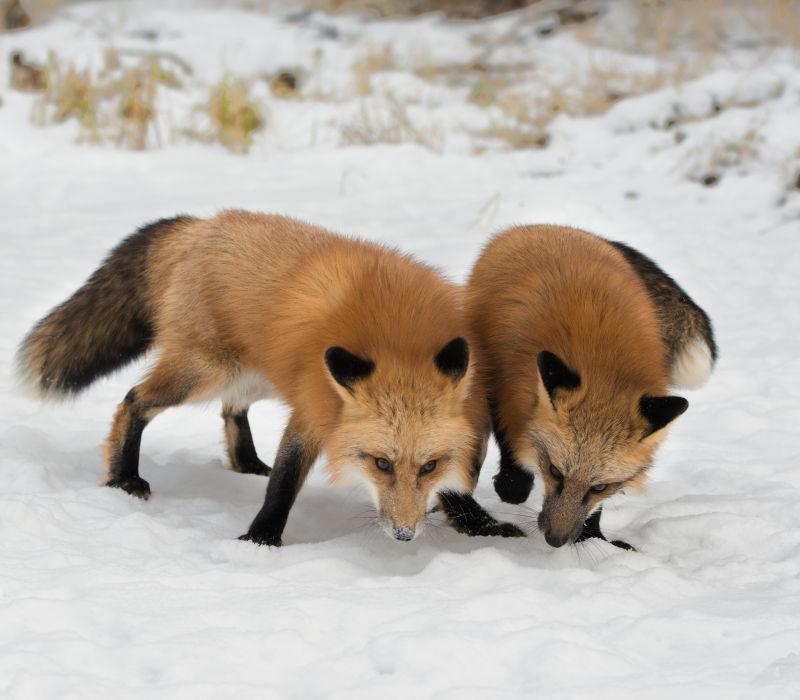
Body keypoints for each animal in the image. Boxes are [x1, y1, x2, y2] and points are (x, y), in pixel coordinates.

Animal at [18, 211, 524, 548]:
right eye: (380, 463)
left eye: (428, 466)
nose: (403, 534)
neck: (400, 344)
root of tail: (201, 224)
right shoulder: (314, 407)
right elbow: (284, 480)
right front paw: (260, 540)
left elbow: (456, 487)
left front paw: (481, 525)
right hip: (204, 372)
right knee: (132, 401)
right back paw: (124, 478)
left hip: (254, 375)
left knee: (230, 410)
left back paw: (244, 463)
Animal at [466, 227, 716, 548]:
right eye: (555, 472)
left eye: (599, 487)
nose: (556, 540)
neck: (601, 357)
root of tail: (559, 228)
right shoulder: (501, 386)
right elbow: (511, 449)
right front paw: (512, 483)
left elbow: (597, 509)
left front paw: (592, 538)